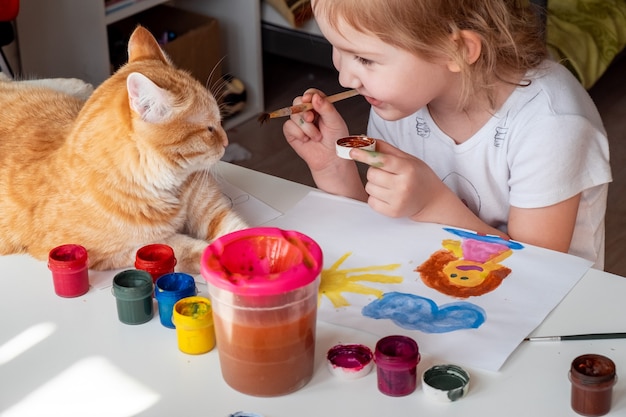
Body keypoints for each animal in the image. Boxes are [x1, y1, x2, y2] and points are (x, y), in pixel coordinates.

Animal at [0, 26, 249, 272]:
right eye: (209, 128)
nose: (226, 141)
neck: (168, 188)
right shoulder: (116, 252)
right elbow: (184, 248)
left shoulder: (214, 211)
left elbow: (240, 232)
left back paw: (77, 84)